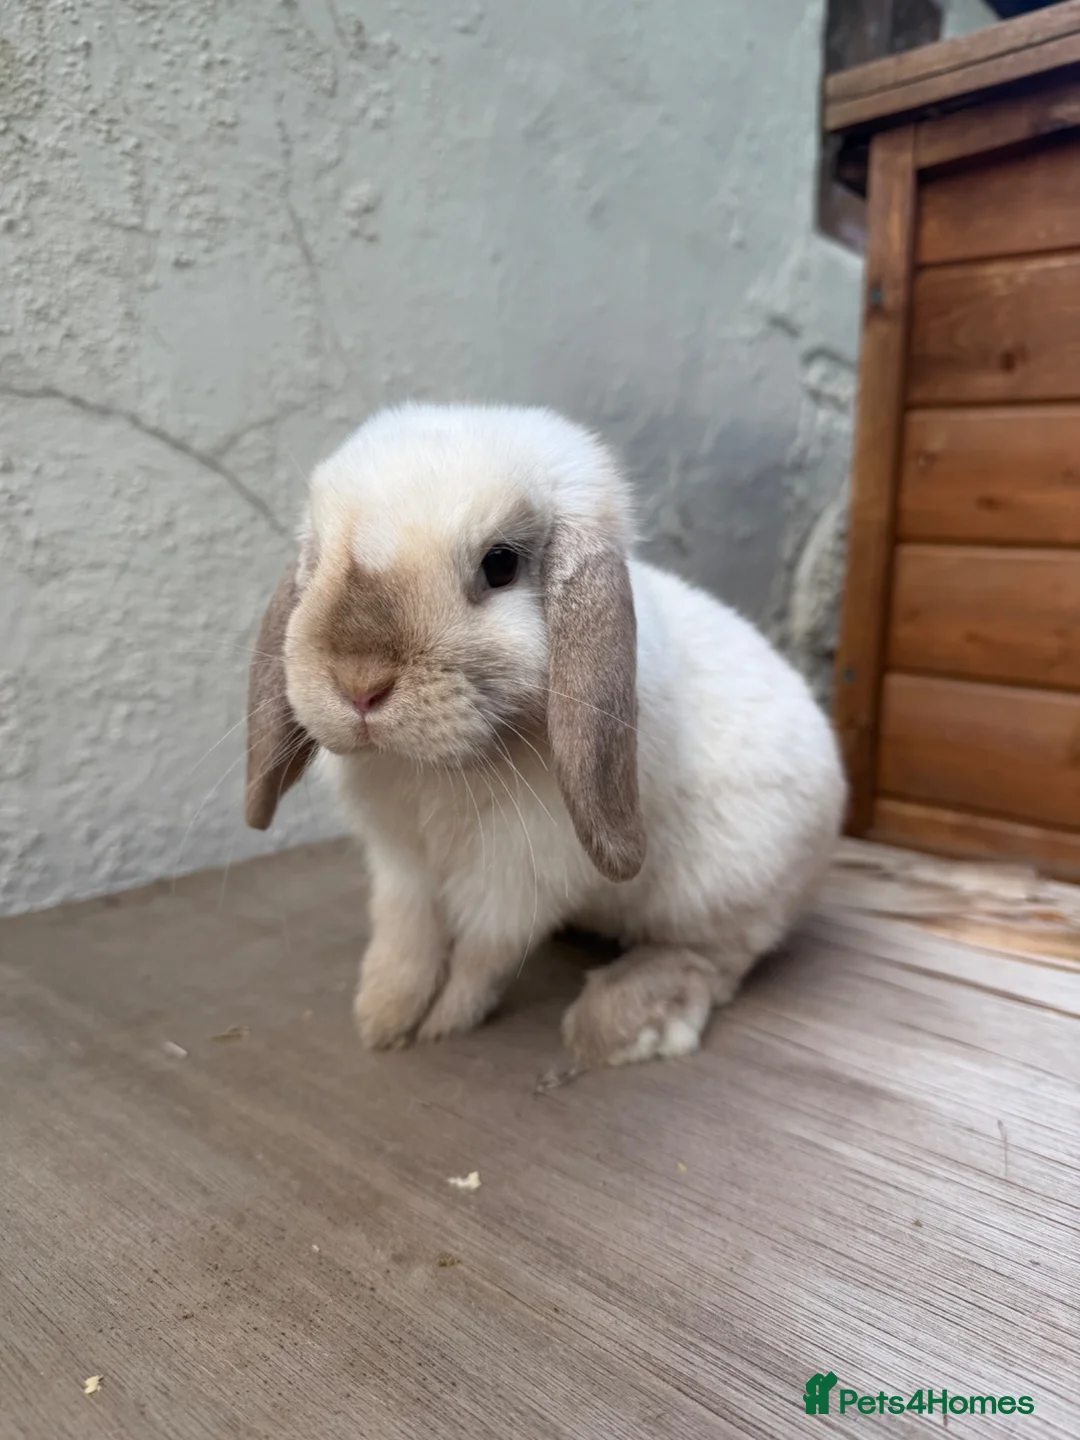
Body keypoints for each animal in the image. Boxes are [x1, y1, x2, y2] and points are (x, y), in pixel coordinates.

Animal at [245, 403, 847, 1067]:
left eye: (500, 564)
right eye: (320, 558)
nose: (359, 684)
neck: (439, 770)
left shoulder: (519, 878)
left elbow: (481, 955)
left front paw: (444, 1022)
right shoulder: (402, 866)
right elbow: (407, 939)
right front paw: (383, 1017)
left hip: (726, 892)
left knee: (711, 959)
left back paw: (619, 1024)